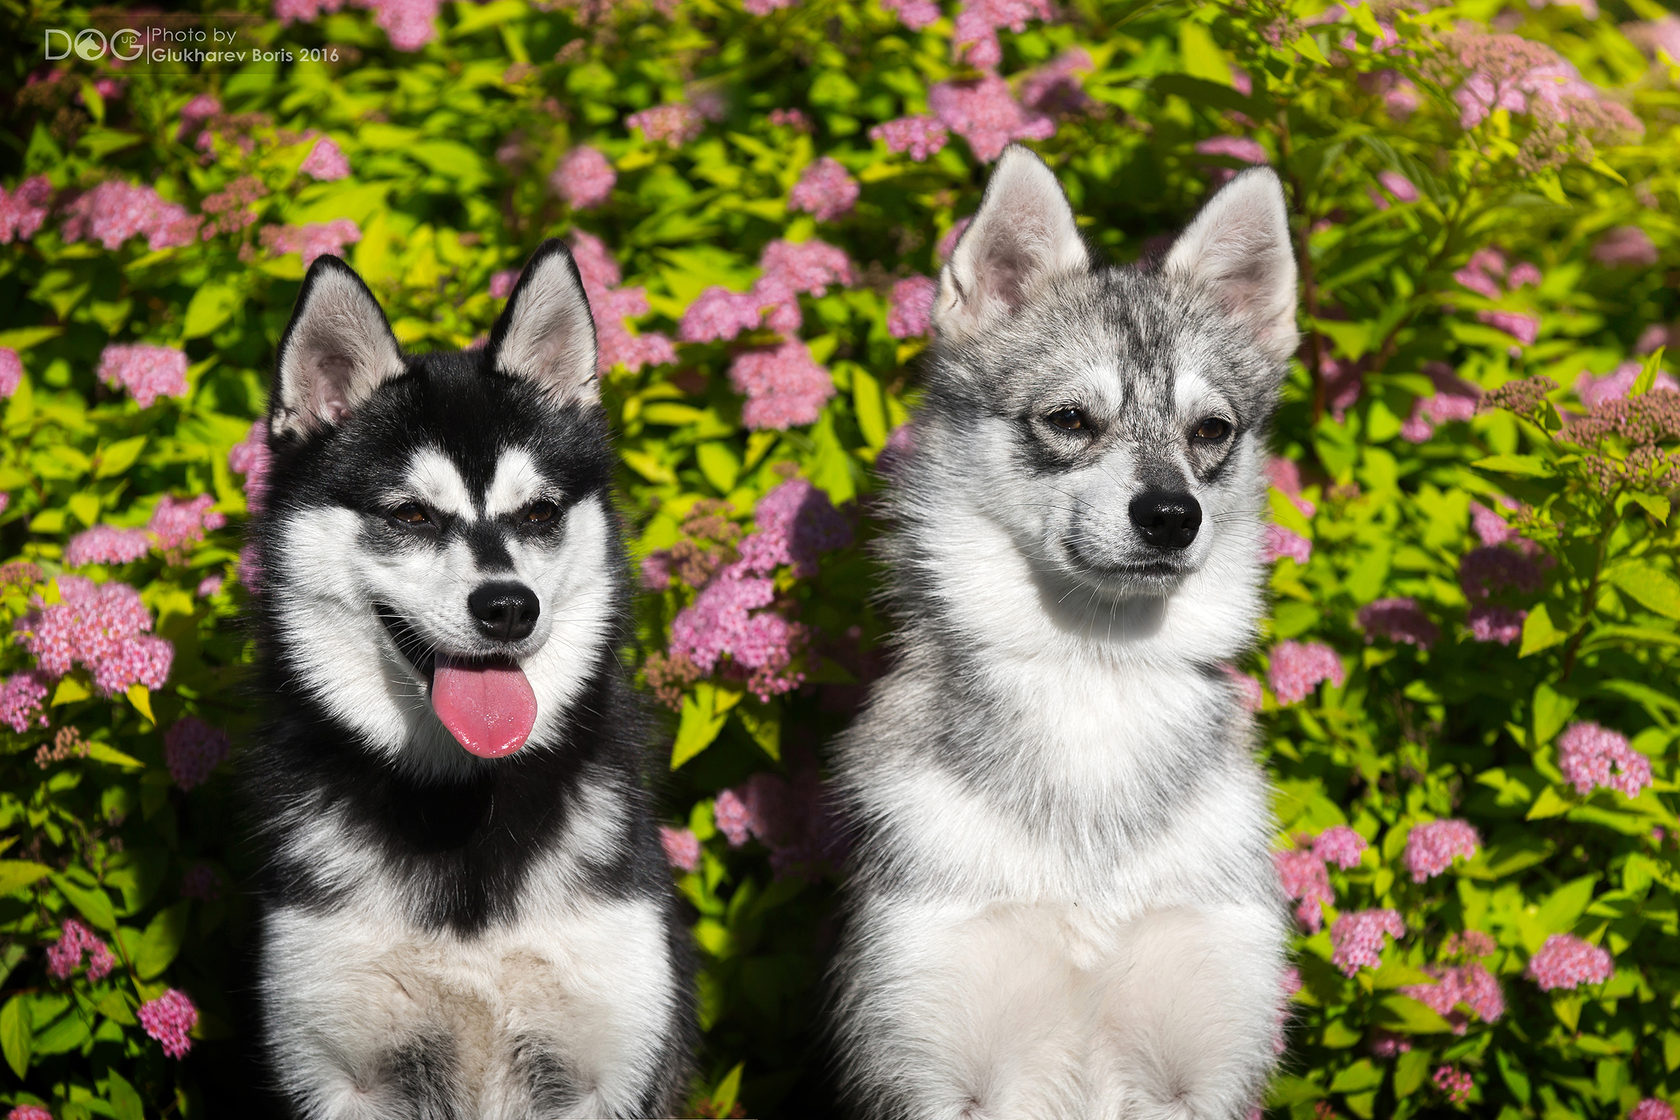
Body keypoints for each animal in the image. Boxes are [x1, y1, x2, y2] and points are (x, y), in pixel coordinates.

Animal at [245, 241, 692, 1114]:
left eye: (539, 513)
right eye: (413, 514)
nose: (507, 606)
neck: (461, 797)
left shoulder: (609, 1065)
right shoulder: (332, 1066)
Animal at [833, 148, 1290, 1120]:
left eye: (1212, 431)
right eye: (1071, 420)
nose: (1172, 515)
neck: (1094, 673)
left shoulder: (1205, 1066)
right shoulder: (930, 1062)